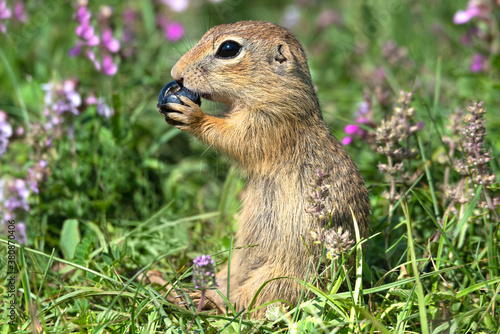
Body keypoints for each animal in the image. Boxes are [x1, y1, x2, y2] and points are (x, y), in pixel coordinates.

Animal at [161, 20, 372, 316]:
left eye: (228, 49)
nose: (175, 74)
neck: (278, 90)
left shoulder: (271, 121)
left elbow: (235, 138)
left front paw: (192, 115)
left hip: (275, 280)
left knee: (241, 305)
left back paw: (203, 300)